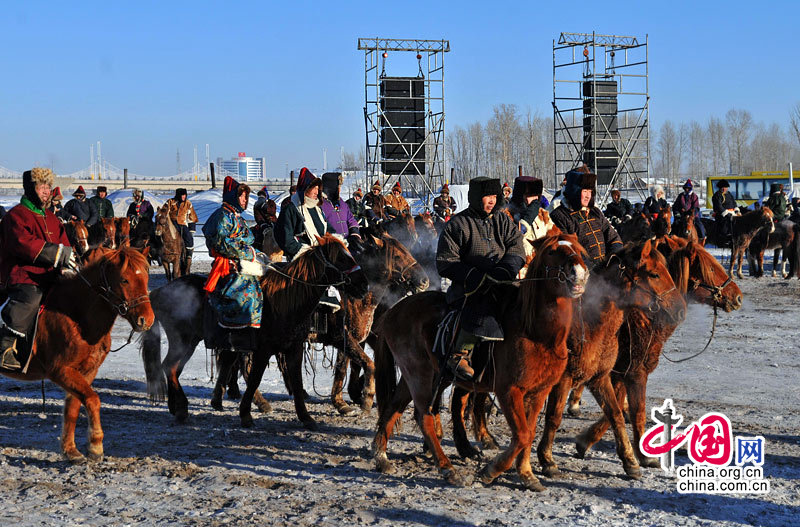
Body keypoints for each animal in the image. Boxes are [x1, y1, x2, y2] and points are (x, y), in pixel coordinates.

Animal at [0, 246, 155, 462]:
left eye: (146, 278)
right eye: (125, 279)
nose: (146, 319)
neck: (76, 316)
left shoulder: (87, 372)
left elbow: (73, 407)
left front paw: (70, 450)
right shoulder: (61, 371)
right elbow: (93, 400)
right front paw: (96, 446)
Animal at [143, 235, 368, 428]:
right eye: (341, 258)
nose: (364, 285)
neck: (284, 302)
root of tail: (159, 292)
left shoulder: (293, 348)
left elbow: (296, 381)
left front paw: (306, 418)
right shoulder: (263, 350)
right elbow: (254, 379)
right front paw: (245, 415)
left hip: (188, 343)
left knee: (172, 368)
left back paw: (175, 407)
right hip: (183, 341)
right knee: (171, 367)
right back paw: (182, 409)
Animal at [372, 235, 592, 490]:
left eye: (578, 250)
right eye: (553, 252)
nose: (579, 273)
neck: (537, 334)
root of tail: (394, 311)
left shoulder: (539, 391)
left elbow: (528, 432)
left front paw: (527, 474)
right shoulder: (509, 391)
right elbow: (523, 434)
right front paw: (491, 470)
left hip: (417, 377)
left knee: (392, 408)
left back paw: (381, 457)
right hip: (420, 375)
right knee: (423, 416)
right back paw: (448, 469)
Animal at [572, 237, 740, 468]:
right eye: (712, 268)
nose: (738, 297)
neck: (640, 317)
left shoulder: (620, 372)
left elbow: (616, 406)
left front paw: (586, 440)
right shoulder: (634, 371)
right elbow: (635, 410)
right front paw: (642, 455)